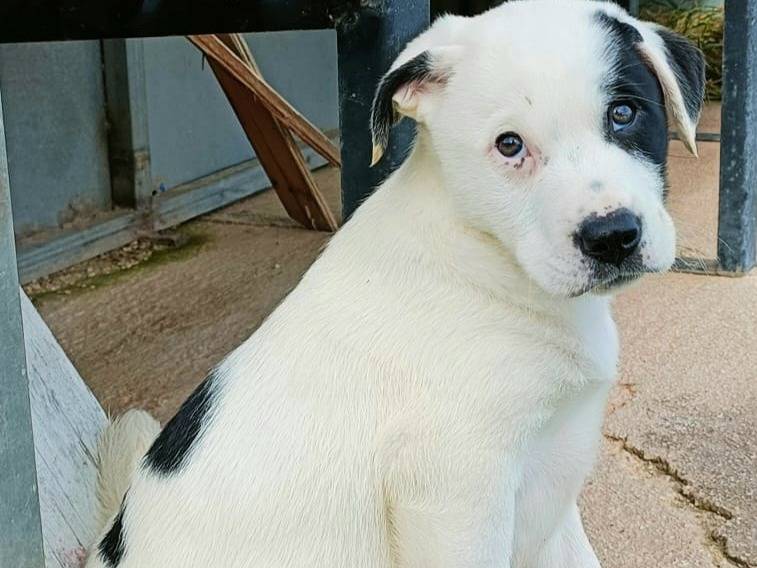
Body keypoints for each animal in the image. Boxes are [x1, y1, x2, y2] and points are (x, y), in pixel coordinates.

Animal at [84, 2, 704, 564]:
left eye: (623, 113)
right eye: (509, 144)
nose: (613, 237)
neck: (484, 261)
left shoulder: (555, 486)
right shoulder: (455, 494)